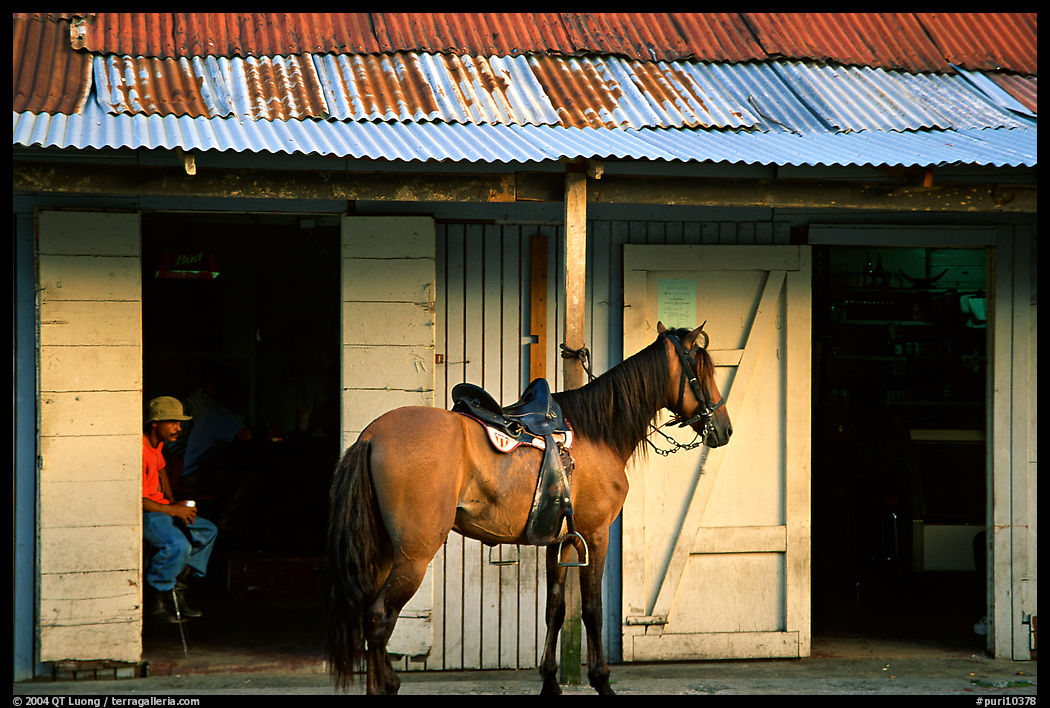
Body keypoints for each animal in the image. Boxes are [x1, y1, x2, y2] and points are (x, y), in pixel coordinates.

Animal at [325, 321, 732, 694]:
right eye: (703, 372)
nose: (724, 429)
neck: (597, 432)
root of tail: (372, 435)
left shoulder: (558, 540)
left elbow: (555, 609)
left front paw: (550, 681)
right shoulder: (595, 535)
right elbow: (592, 610)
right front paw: (601, 681)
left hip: (383, 554)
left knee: (370, 619)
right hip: (414, 555)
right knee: (379, 619)